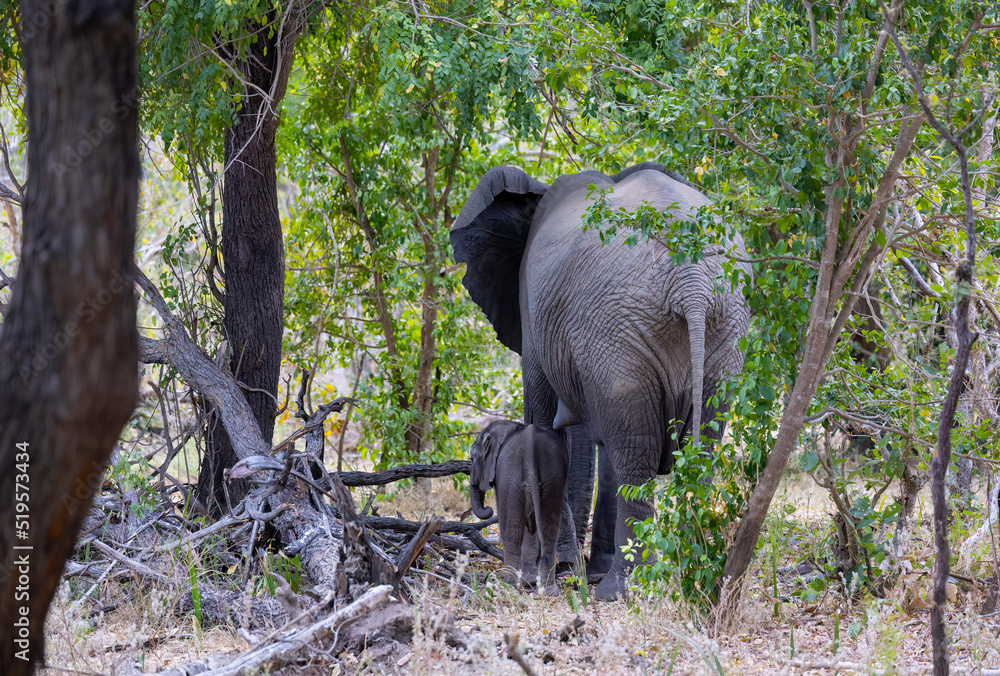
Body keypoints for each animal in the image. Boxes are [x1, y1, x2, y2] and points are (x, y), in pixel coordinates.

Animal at [470, 420, 572, 588]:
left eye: (472, 458)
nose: (488, 508)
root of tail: (532, 447)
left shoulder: (501, 474)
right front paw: (530, 581)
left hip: (512, 474)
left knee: (512, 531)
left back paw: (508, 584)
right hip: (553, 478)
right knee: (549, 533)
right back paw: (548, 589)